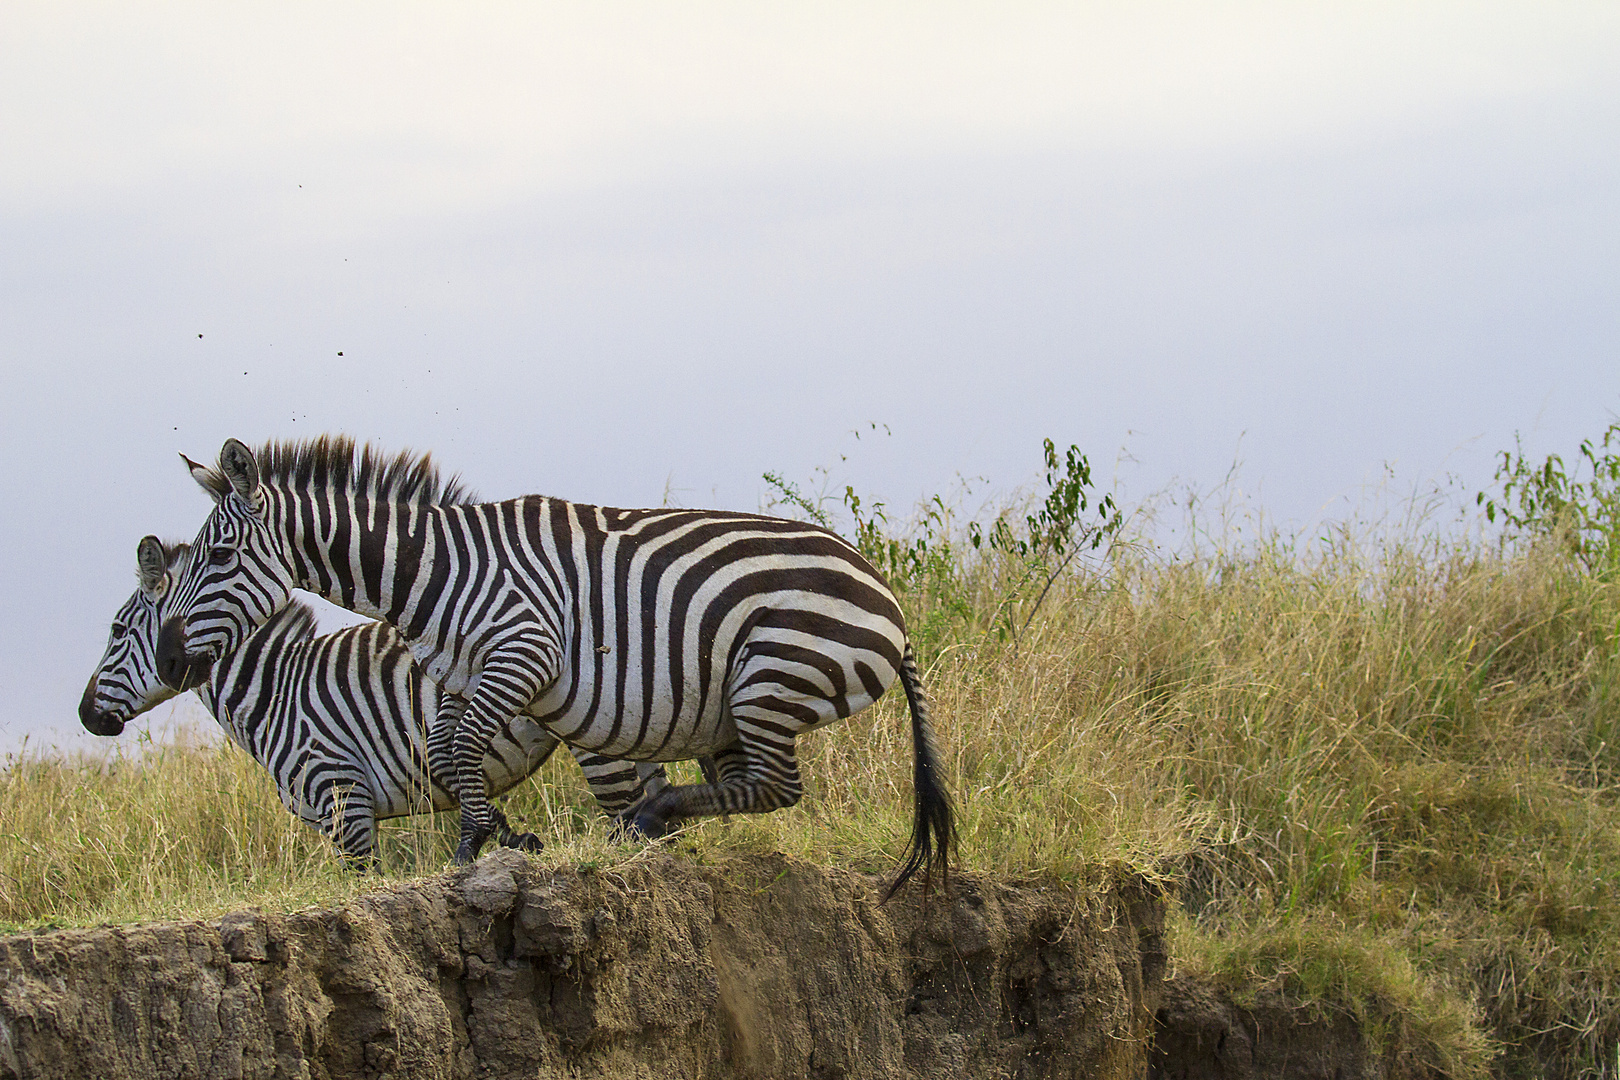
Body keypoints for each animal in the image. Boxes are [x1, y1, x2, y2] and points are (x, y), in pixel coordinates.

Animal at [154, 433, 946, 900]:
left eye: (218, 556)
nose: (167, 655)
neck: (434, 573)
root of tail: (888, 599)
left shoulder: (522, 652)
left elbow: (463, 749)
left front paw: (489, 841)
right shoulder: (461, 672)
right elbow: (447, 751)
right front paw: (487, 838)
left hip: (770, 677)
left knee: (777, 787)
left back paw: (653, 812)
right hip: (736, 709)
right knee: (754, 787)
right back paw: (654, 817)